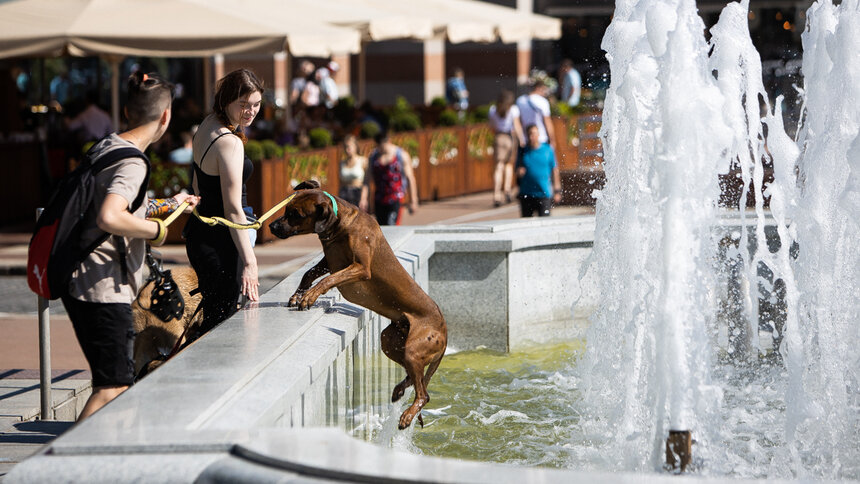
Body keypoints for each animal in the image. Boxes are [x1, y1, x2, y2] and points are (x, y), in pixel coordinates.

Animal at [270, 181, 450, 428]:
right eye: (286, 208)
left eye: (295, 214)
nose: (271, 226)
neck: (339, 225)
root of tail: (445, 331)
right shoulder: (329, 260)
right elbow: (309, 273)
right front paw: (298, 295)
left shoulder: (360, 267)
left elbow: (328, 279)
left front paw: (310, 296)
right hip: (391, 340)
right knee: (414, 378)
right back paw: (399, 390)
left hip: (414, 348)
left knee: (424, 393)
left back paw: (407, 414)